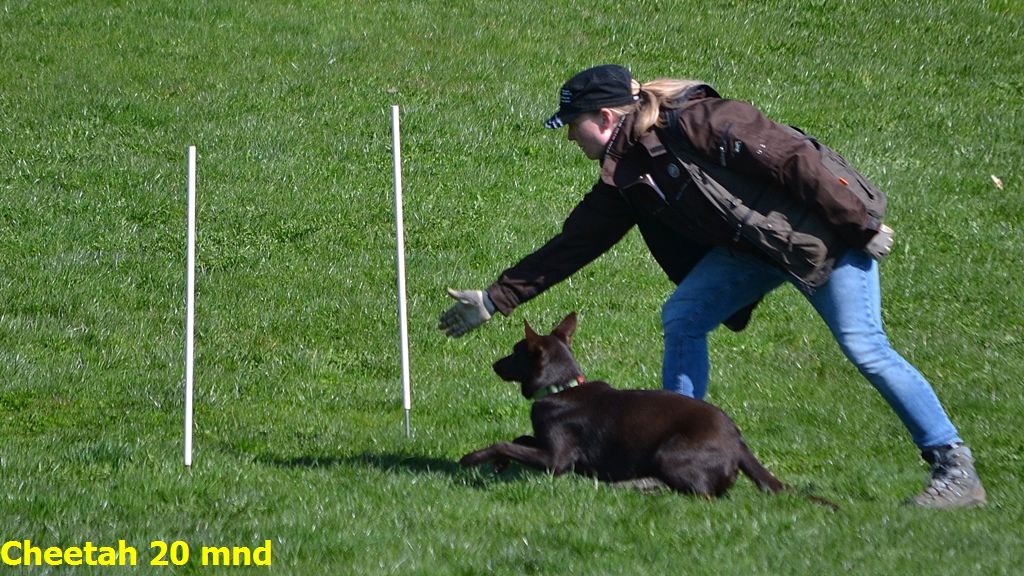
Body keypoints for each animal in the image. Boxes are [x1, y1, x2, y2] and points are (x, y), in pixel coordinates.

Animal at [460, 312, 801, 500]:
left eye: (515, 351)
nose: (494, 364)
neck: (563, 387)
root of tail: (738, 442)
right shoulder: (544, 443)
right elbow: (520, 439)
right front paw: (499, 465)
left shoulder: (557, 460)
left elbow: (505, 443)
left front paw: (473, 458)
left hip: (670, 453)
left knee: (703, 496)